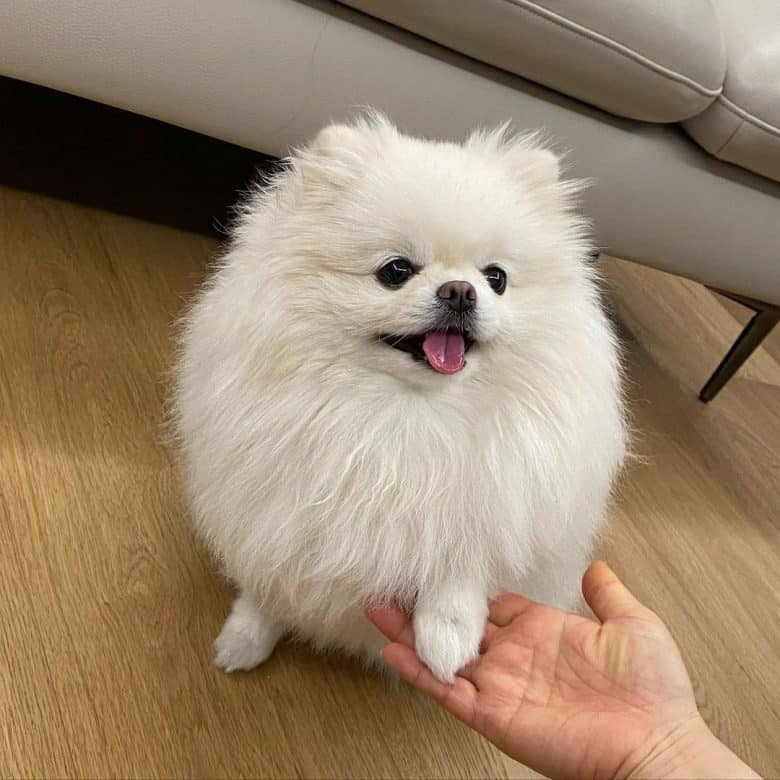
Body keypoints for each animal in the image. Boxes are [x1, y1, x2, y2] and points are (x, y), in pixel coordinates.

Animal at [172, 112, 628, 680]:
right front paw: (248, 635)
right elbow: (273, 577)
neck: (406, 417)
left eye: (496, 278)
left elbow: (461, 566)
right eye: (395, 271)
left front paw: (447, 640)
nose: (461, 291)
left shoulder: (496, 498)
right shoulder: (277, 508)